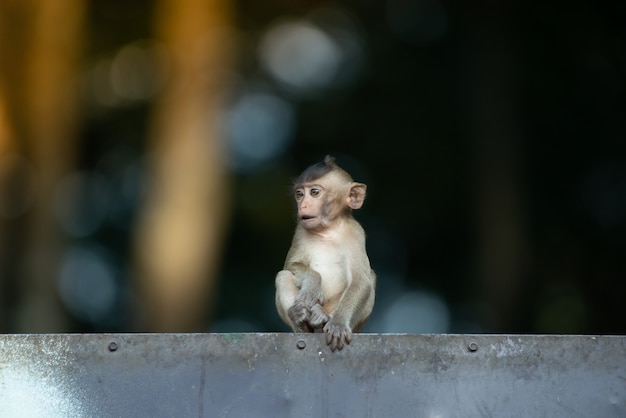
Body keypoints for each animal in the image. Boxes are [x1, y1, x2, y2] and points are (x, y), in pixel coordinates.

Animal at [274, 155, 372, 352]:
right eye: (299, 194)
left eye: (314, 192)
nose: (303, 205)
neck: (328, 230)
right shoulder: (300, 231)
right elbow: (290, 265)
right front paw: (312, 283)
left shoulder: (356, 233)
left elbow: (361, 280)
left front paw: (338, 324)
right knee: (283, 276)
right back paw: (299, 318)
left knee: (371, 277)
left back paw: (324, 318)